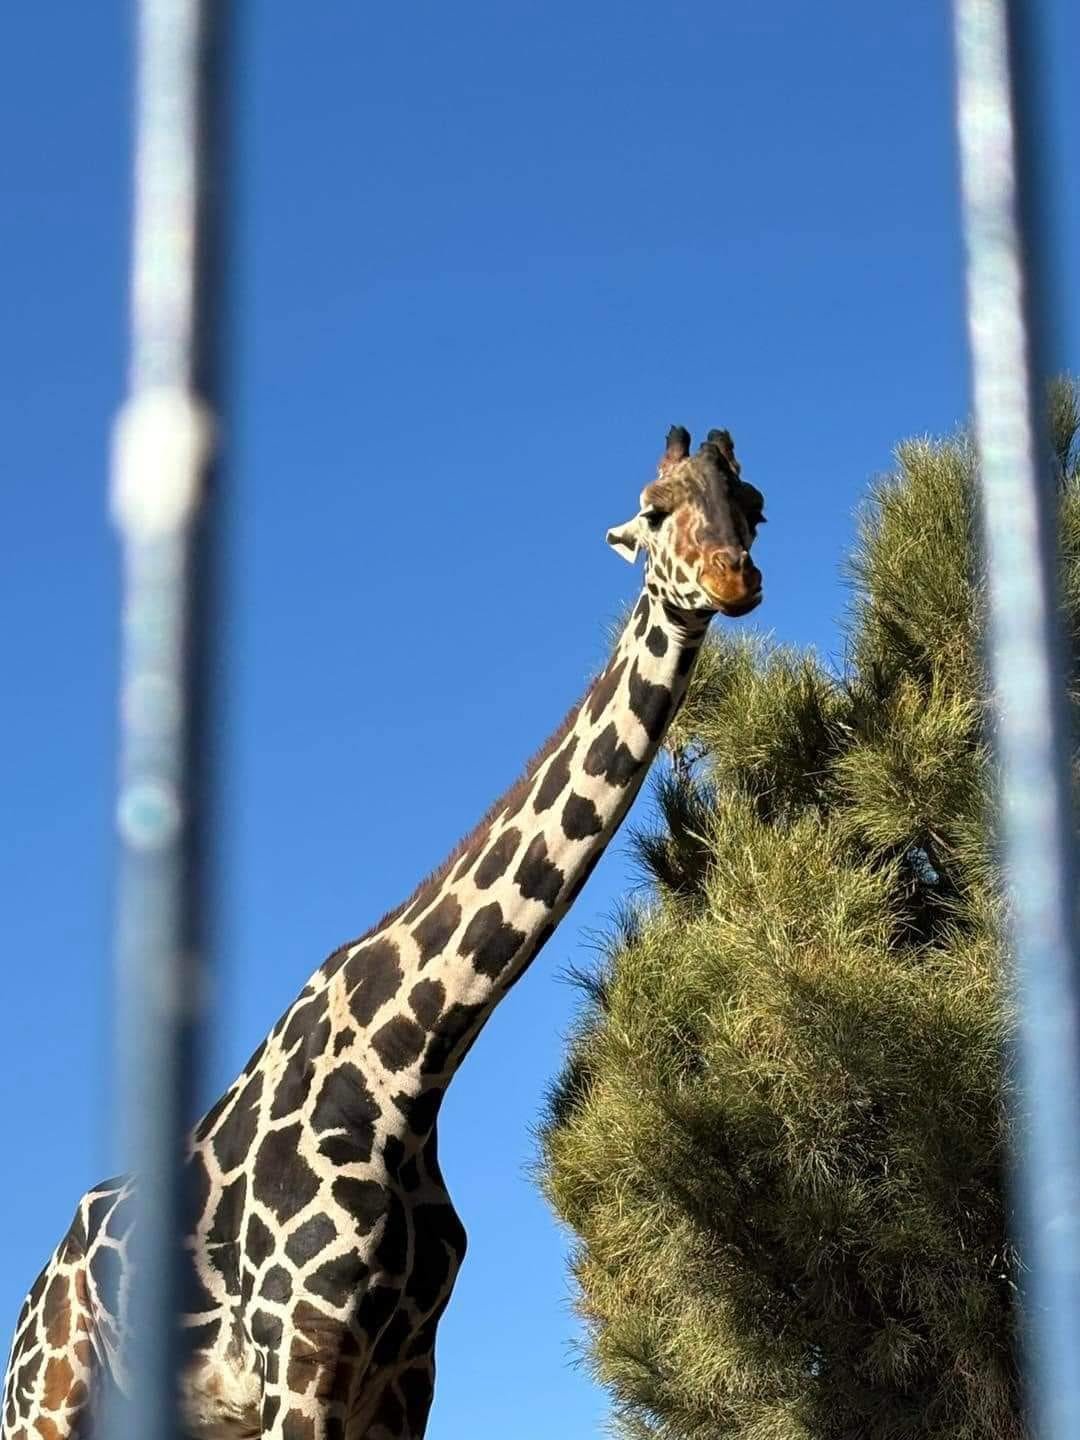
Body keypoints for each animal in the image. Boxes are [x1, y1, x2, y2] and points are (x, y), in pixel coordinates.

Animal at [1, 424, 766, 1440]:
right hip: (49, 1402)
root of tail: (36, 1294)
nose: (733, 576)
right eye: (652, 509)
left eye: (752, 505)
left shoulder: (405, 1377)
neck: (411, 1062)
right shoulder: (302, 1356)